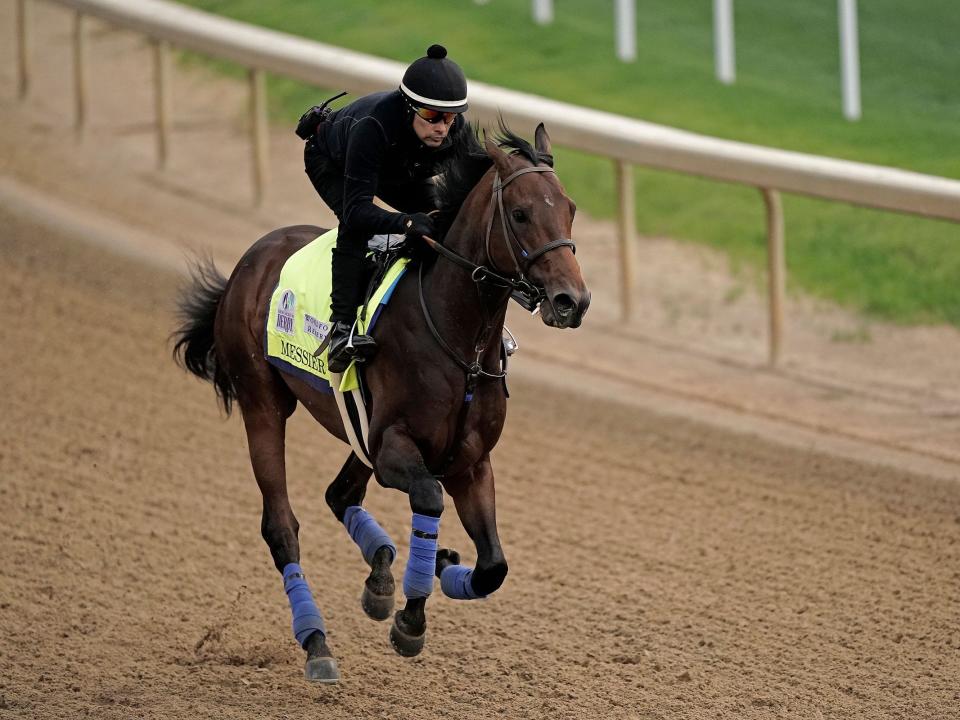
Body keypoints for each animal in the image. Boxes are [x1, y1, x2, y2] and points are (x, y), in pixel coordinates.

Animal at [175, 122, 588, 680]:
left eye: (570, 209)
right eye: (521, 213)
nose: (573, 301)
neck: (459, 339)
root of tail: (248, 263)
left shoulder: (469, 461)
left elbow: (493, 567)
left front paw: (440, 566)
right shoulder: (396, 447)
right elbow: (429, 499)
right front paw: (411, 617)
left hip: (357, 431)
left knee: (339, 494)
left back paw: (382, 576)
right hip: (263, 403)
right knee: (281, 527)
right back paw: (318, 643)